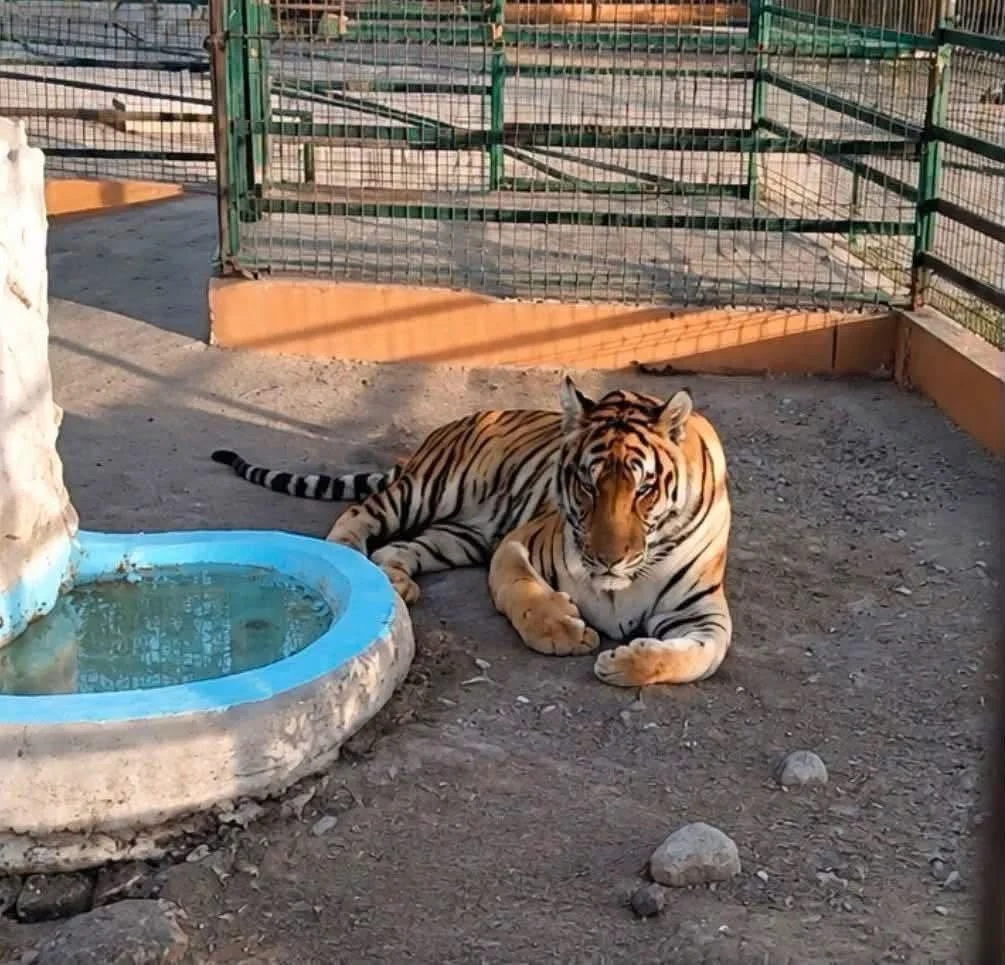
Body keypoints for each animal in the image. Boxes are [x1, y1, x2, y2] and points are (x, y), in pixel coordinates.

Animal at [210, 376, 732, 688]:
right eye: (587, 484)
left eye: (644, 488)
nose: (607, 559)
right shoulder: (519, 542)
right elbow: (521, 592)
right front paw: (562, 631)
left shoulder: (702, 611)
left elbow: (703, 655)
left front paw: (625, 663)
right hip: (427, 491)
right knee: (360, 515)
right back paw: (360, 564)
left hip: (461, 536)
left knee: (398, 548)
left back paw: (398, 584)